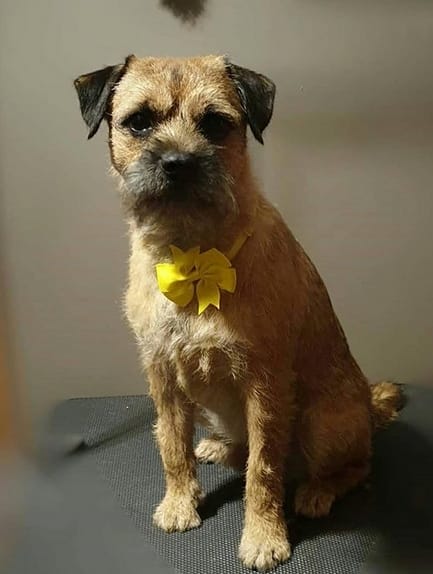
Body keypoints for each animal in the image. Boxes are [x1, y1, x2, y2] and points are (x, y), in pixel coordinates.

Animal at [74, 55, 402, 571]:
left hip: (323, 424)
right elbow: (171, 446)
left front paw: (264, 536)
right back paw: (218, 446)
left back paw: (318, 491)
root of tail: (368, 407)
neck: (192, 253)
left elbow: (262, 470)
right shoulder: (162, 378)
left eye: (214, 123)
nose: (178, 163)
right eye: (139, 122)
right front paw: (179, 502)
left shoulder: (264, 385)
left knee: (356, 465)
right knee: (236, 448)